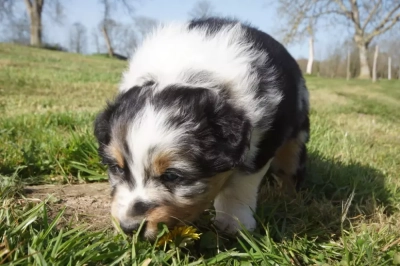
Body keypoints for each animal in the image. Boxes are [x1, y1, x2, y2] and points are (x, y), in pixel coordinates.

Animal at [94, 17, 310, 240]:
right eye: (117, 168)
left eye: (172, 176)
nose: (129, 229)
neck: (183, 71)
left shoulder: (261, 146)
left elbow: (240, 185)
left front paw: (234, 224)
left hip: (297, 134)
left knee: (290, 165)